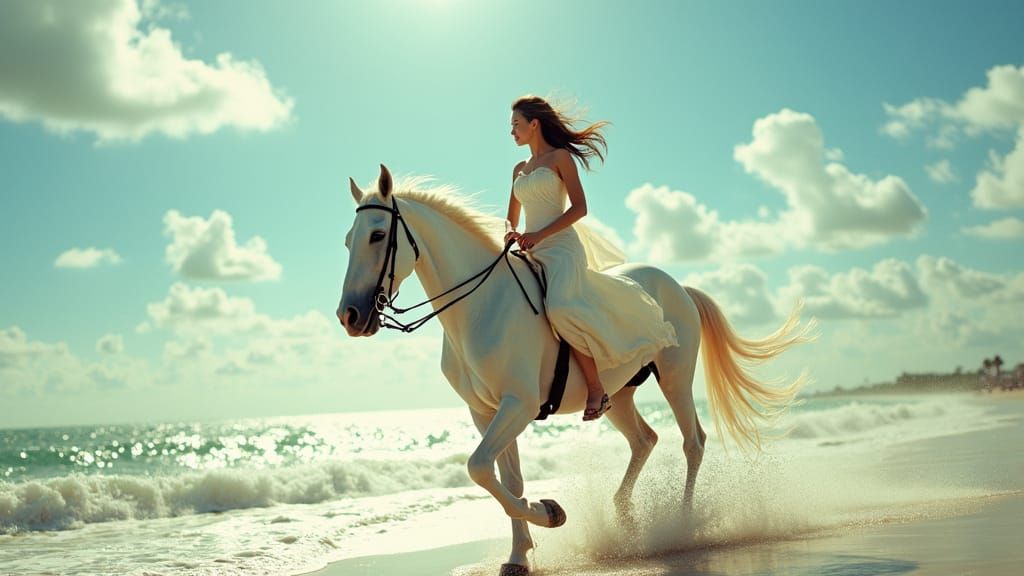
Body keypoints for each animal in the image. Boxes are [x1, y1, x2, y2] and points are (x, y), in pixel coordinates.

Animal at [337, 165, 814, 575]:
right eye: (347, 240)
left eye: (378, 235)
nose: (350, 316)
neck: (481, 306)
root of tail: (677, 285)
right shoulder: (485, 412)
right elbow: (504, 477)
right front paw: (520, 555)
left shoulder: (518, 405)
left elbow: (479, 469)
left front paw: (550, 512)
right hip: (618, 395)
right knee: (645, 440)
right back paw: (627, 521)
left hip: (676, 377)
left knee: (692, 441)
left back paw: (684, 525)